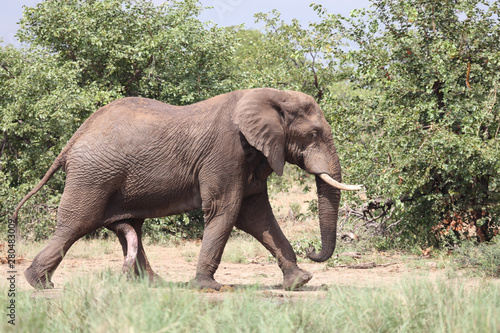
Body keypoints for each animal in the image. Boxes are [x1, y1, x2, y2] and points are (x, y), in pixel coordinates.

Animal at [10, 87, 364, 290]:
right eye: (314, 134)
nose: (312, 251)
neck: (270, 97)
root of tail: (72, 141)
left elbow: (257, 216)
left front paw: (300, 281)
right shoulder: (226, 152)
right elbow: (226, 210)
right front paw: (208, 287)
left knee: (129, 227)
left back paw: (154, 285)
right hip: (93, 176)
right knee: (75, 225)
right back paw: (38, 284)